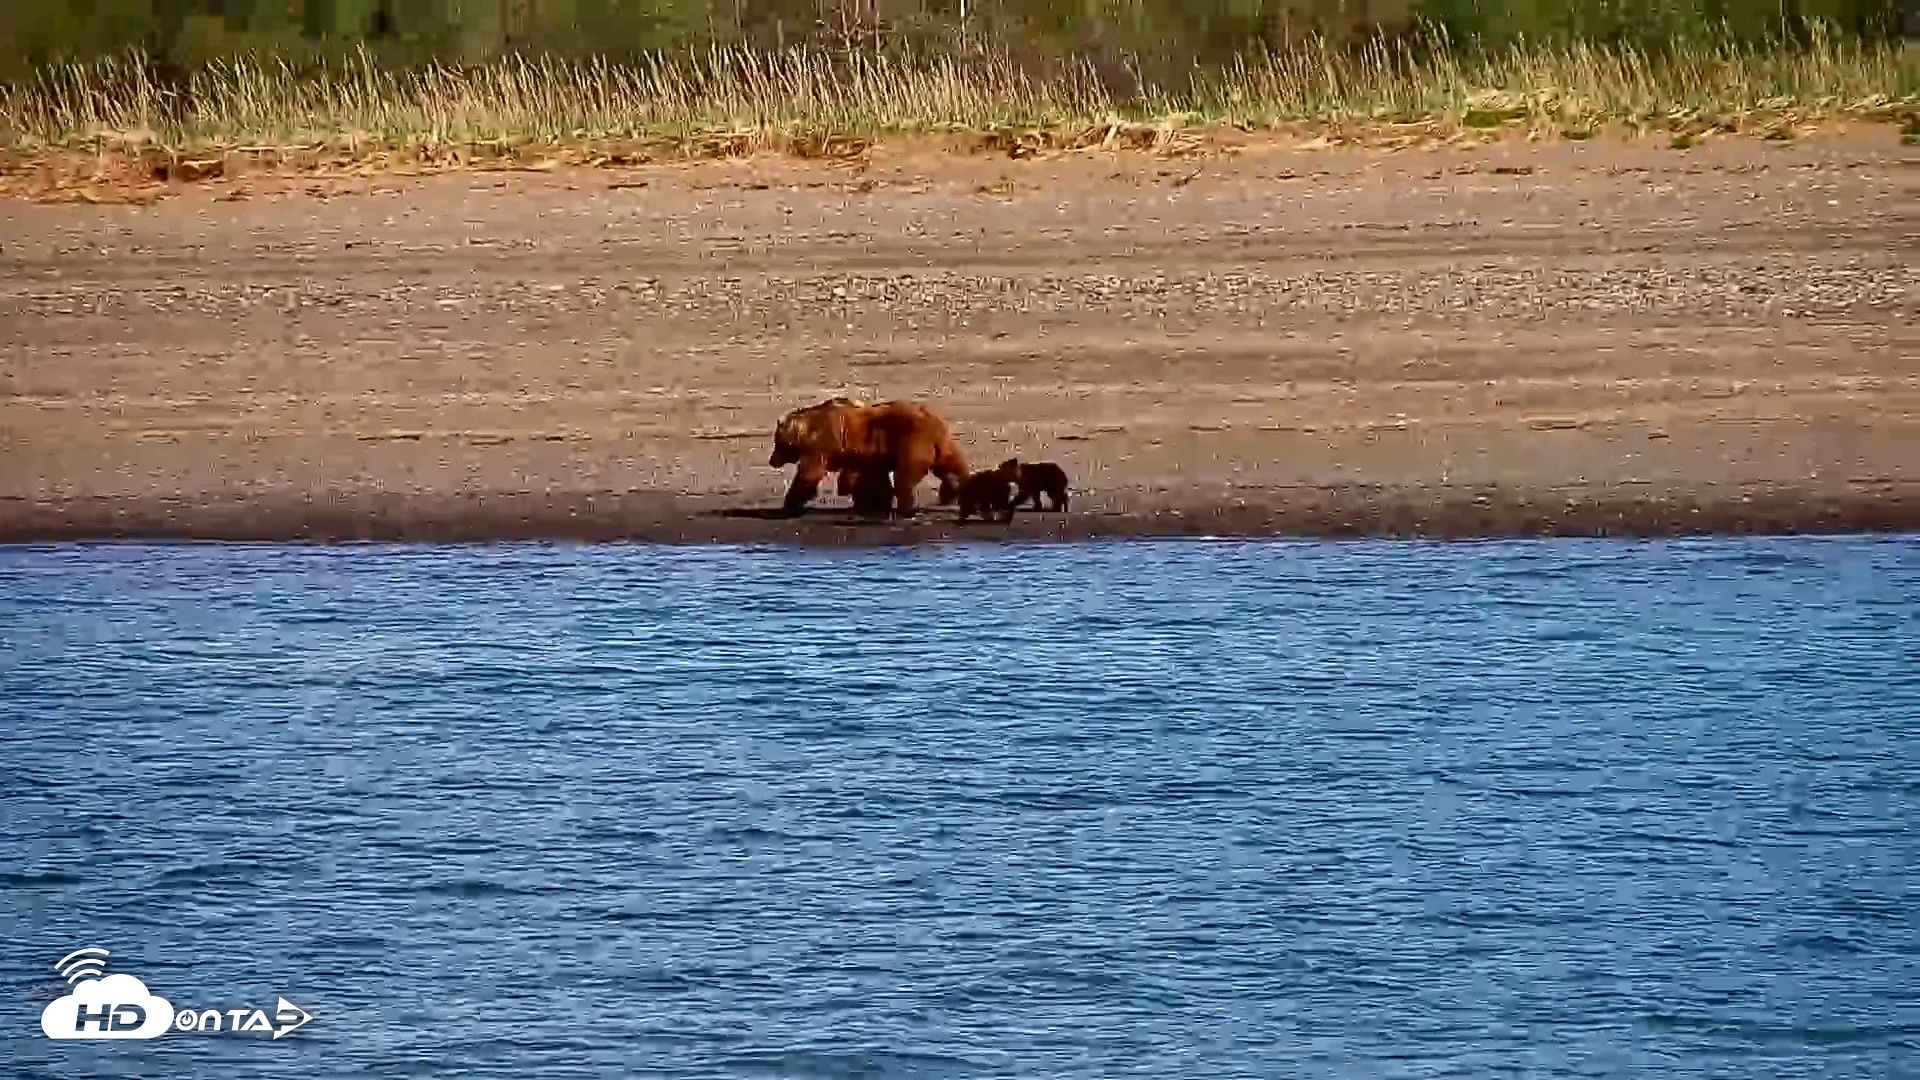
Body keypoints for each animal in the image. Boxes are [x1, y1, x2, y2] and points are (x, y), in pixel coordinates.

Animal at [768, 397, 970, 517]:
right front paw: (872, 503)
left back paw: (907, 508)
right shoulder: (865, 453)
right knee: (952, 466)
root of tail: (934, 420)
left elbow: (809, 474)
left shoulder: (822, 446)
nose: (772, 460)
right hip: (941, 443)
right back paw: (954, 493)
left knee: (905, 477)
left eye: (777, 441)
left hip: (912, 440)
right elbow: (870, 479)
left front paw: (790, 504)